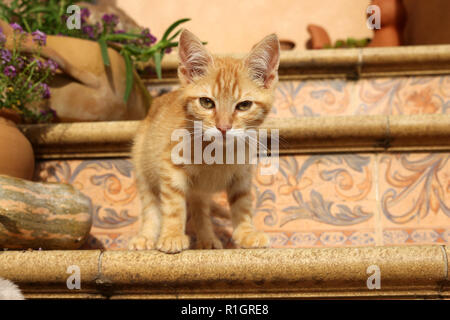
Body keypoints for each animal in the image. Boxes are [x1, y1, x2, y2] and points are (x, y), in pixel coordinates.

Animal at [128, 30, 280, 255]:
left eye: (244, 105)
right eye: (206, 102)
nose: (223, 127)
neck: (219, 153)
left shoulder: (242, 174)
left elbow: (242, 203)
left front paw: (246, 233)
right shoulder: (170, 166)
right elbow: (173, 206)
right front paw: (172, 235)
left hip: (199, 191)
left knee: (200, 210)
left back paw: (207, 239)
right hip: (143, 169)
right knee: (151, 208)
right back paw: (145, 237)